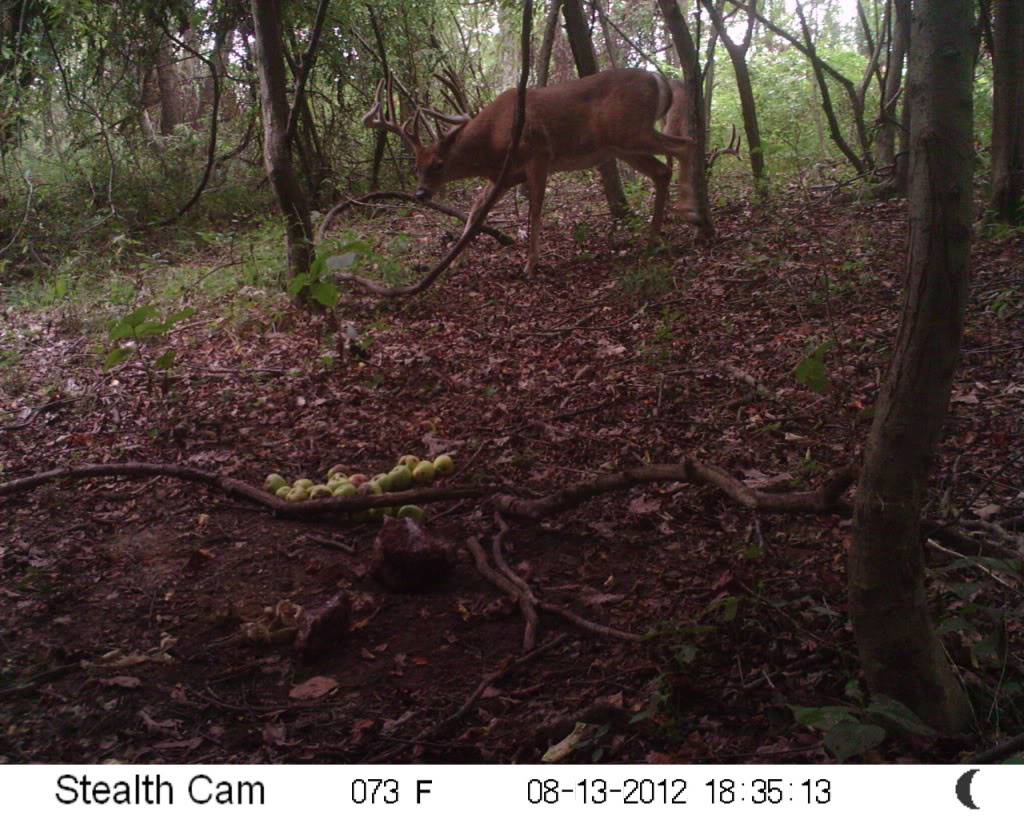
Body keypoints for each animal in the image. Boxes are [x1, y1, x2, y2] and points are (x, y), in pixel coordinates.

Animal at [362, 68, 704, 274]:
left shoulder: (538, 153)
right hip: (622, 146)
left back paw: (689, 210)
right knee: (662, 171)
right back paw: (652, 240)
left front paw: (530, 264)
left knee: (686, 144)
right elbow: (476, 210)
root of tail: (661, 80)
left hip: (630, 132)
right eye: (416, 166)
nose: (421, 193)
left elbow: (535, 209)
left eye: (439, 164)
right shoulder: (506, 174)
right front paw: (455, 260)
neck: (493, 139)